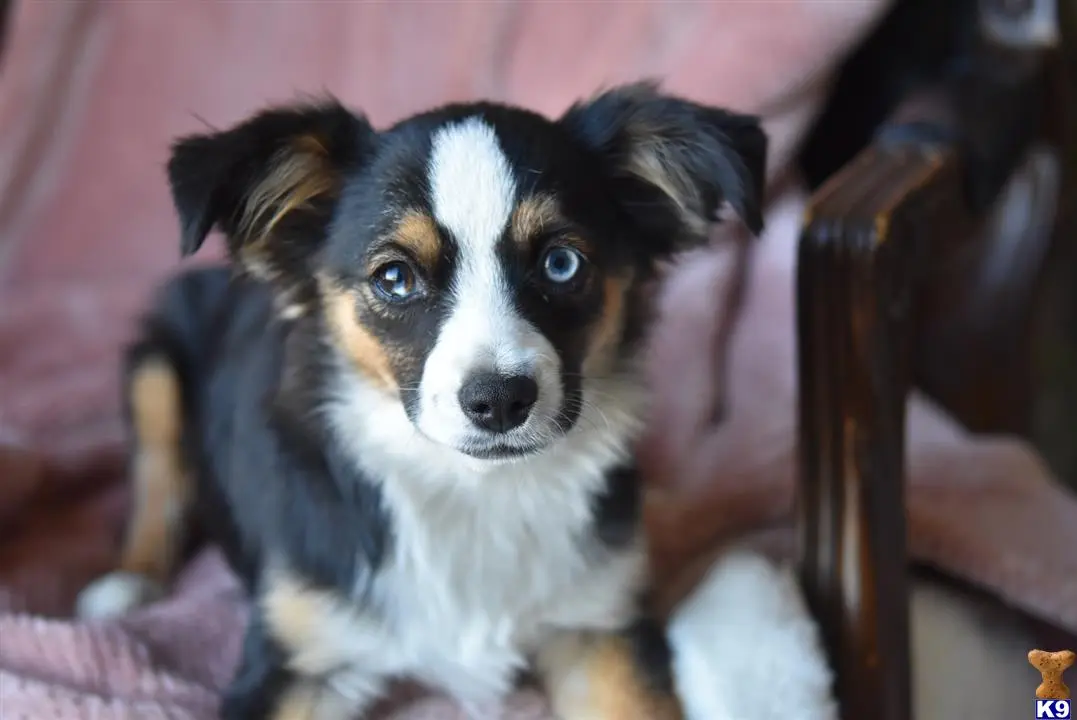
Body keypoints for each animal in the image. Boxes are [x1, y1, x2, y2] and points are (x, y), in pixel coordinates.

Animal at [75, 82, 766, 718]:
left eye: (562, 263)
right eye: (395, 277)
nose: (499, 401)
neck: (472, 489)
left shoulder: (601, 630)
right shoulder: (297, 654)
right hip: (156, 360)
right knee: (157, 475)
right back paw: (128, 583)